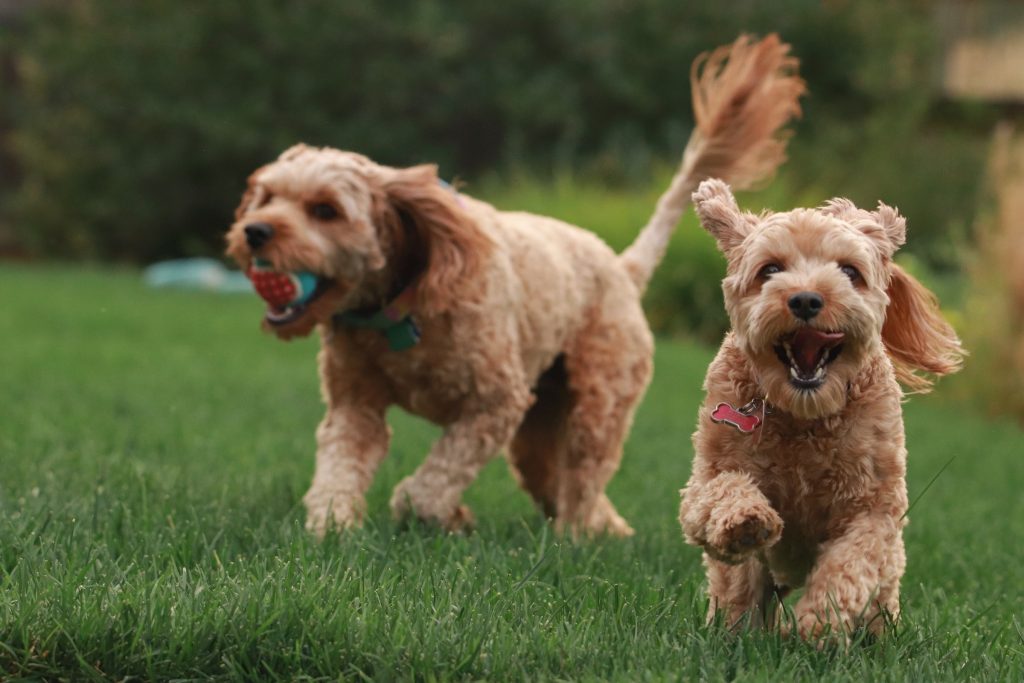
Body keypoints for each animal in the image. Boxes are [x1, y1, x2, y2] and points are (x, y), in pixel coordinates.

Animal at [228, 36, 802, 540]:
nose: (253, 232)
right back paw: (606, 529)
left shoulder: (495, 401)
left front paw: (438, 513)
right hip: (539, 423)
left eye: (325, 210)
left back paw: (577, 537)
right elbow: (340, 465)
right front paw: (331, 528)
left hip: (598, 402)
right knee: (558, 478)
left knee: (584, 474)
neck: (399, 309)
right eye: (267, 196)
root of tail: (622, 267)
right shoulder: (355, 404)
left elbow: (429, 484)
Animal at [679, 179, 966, 638]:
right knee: (739, 590)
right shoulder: (706, 475)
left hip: (886, 580)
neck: (803, 413)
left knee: (880, 596)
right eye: (770, 270)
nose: (806, 300)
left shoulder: (874, 506)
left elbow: (852, 561)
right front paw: (746, 520)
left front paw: (819, 621)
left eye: (849, 271)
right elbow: (721, 491)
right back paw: (734, 630)